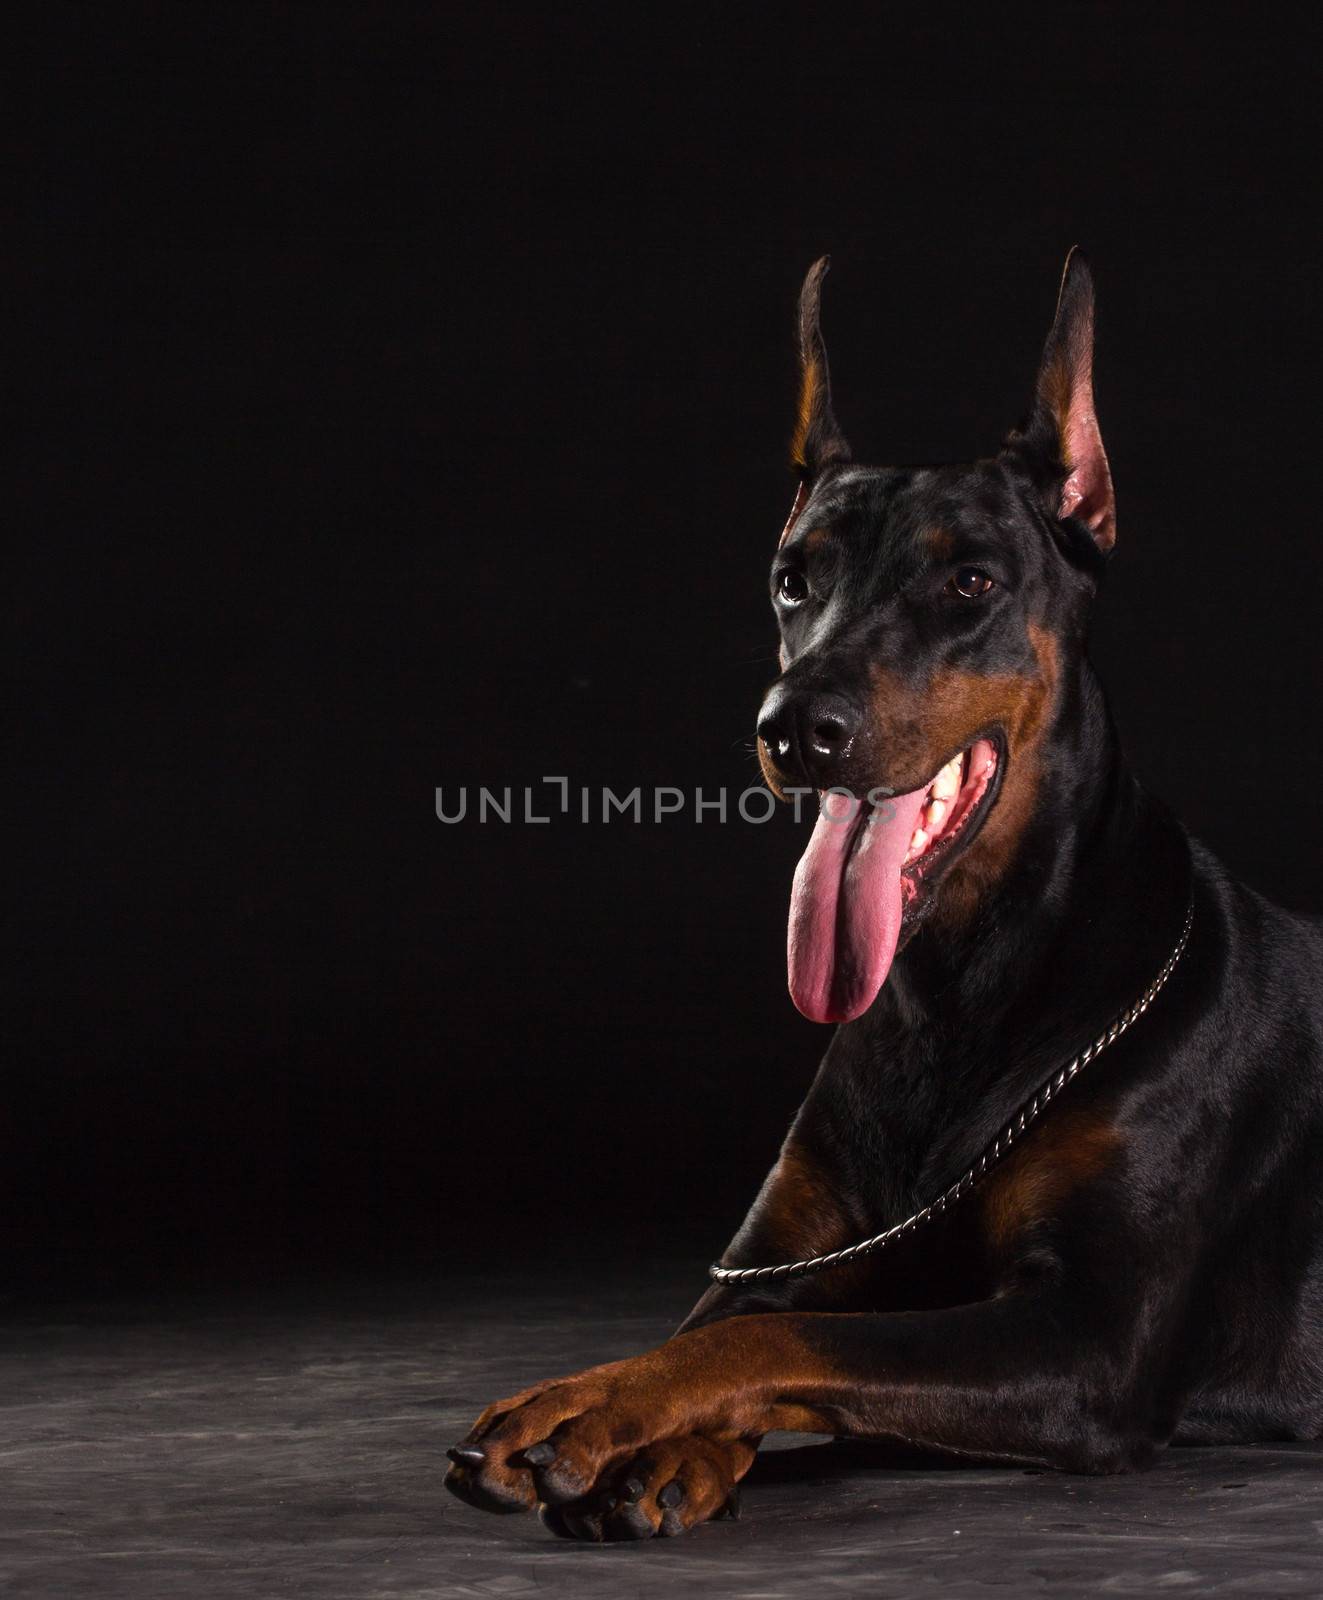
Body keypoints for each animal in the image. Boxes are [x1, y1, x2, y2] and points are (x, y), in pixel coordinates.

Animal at [444, 259, 1323, 1536]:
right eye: (792, 580)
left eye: (972, 580)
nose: (795, 727)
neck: (953, 997)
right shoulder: (775, 1250)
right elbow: (725, 1328)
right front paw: (655, 1437)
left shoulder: (1091, 1342)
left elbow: (790, 1341)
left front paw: (595, 1415)